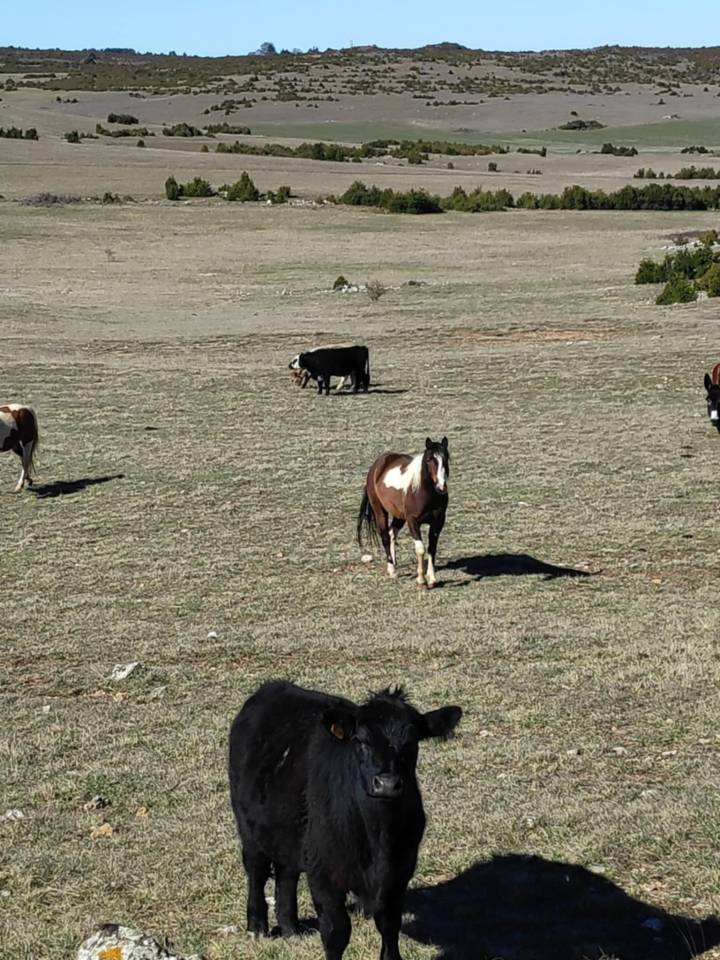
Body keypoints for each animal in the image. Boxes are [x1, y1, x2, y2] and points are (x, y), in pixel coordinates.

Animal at [357, 437, 449, 588]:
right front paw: (421, 579)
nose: (441, 487)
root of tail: (376, 465)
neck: (424, 493)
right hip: (380, 511)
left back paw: (395, 563)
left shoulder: (438, 522)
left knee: (391, 533)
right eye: (429, 459)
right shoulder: (413, 522)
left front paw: (432, 578)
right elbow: (420, 549)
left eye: (446, 458)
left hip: (399, 516)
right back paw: (392, 570)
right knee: (385, 536)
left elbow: (432, 548)